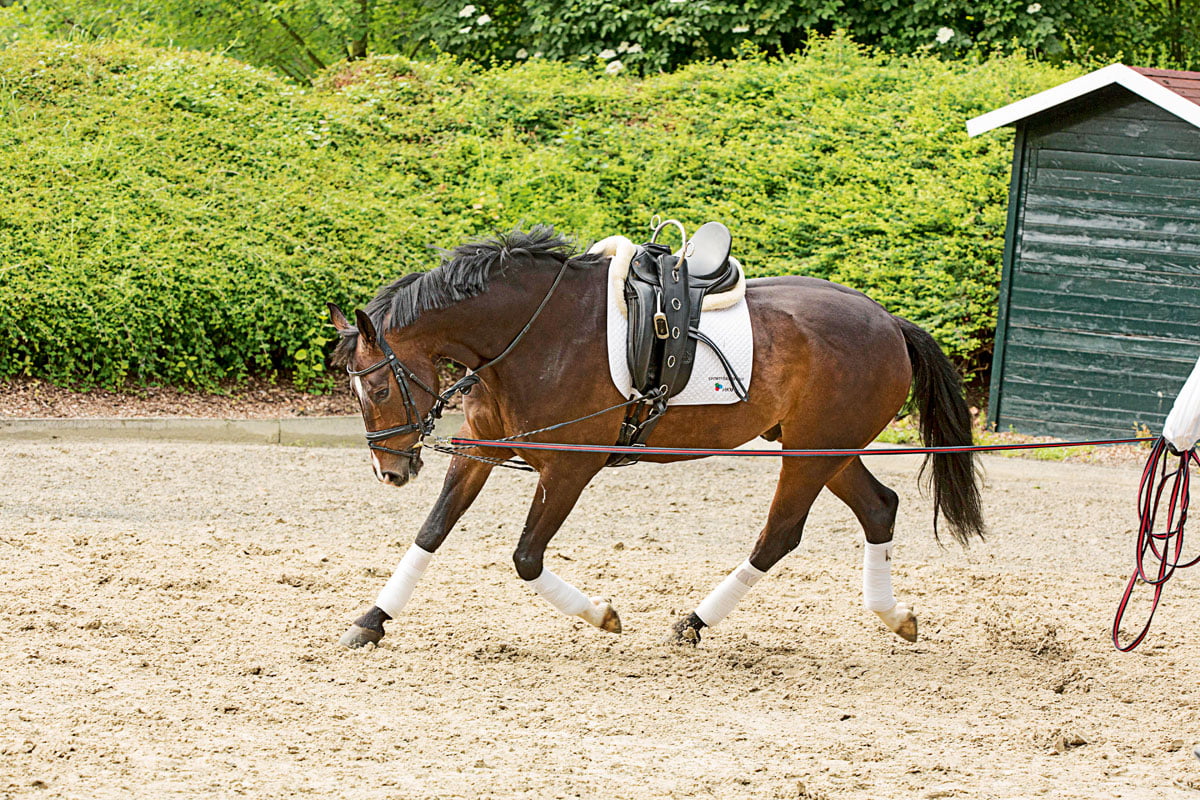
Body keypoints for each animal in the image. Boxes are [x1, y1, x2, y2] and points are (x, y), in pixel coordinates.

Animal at [331, 226, 984, 652]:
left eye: (380, 389)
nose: (390, 471)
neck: (532, 335)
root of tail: (887, 321)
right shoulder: (482, 447)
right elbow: (432, 531)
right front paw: (372, 619)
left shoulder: (569, 468)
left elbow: (525, 558)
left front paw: (601, 615)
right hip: (825, 448)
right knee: (879, 508)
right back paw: (895, 617)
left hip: (811, 452)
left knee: (780, 535)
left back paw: (694, 622)